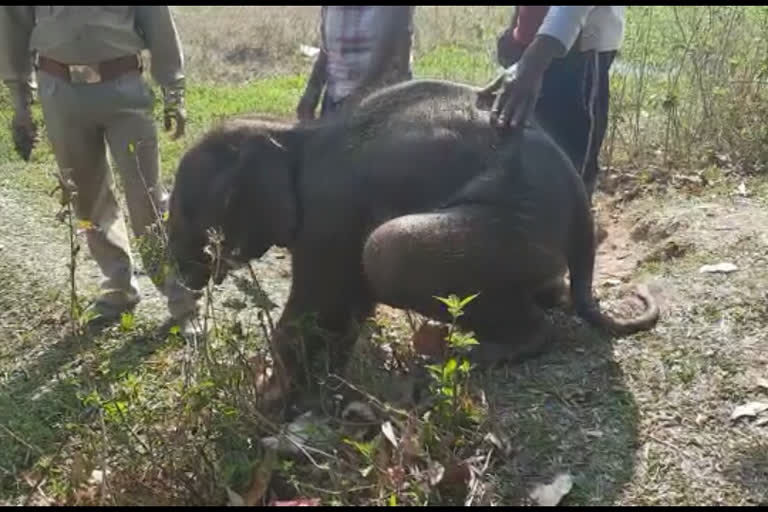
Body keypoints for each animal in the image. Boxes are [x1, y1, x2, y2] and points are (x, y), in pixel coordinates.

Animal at [168, 79, 660, 400]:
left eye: (189, 209)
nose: (191, 274)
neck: (290, 133)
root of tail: (583, 218)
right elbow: (343, 305)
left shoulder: (330, 210)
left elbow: (317, 303)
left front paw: (267, 401)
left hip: (518, 224)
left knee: (386, 250)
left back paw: (476, 356)